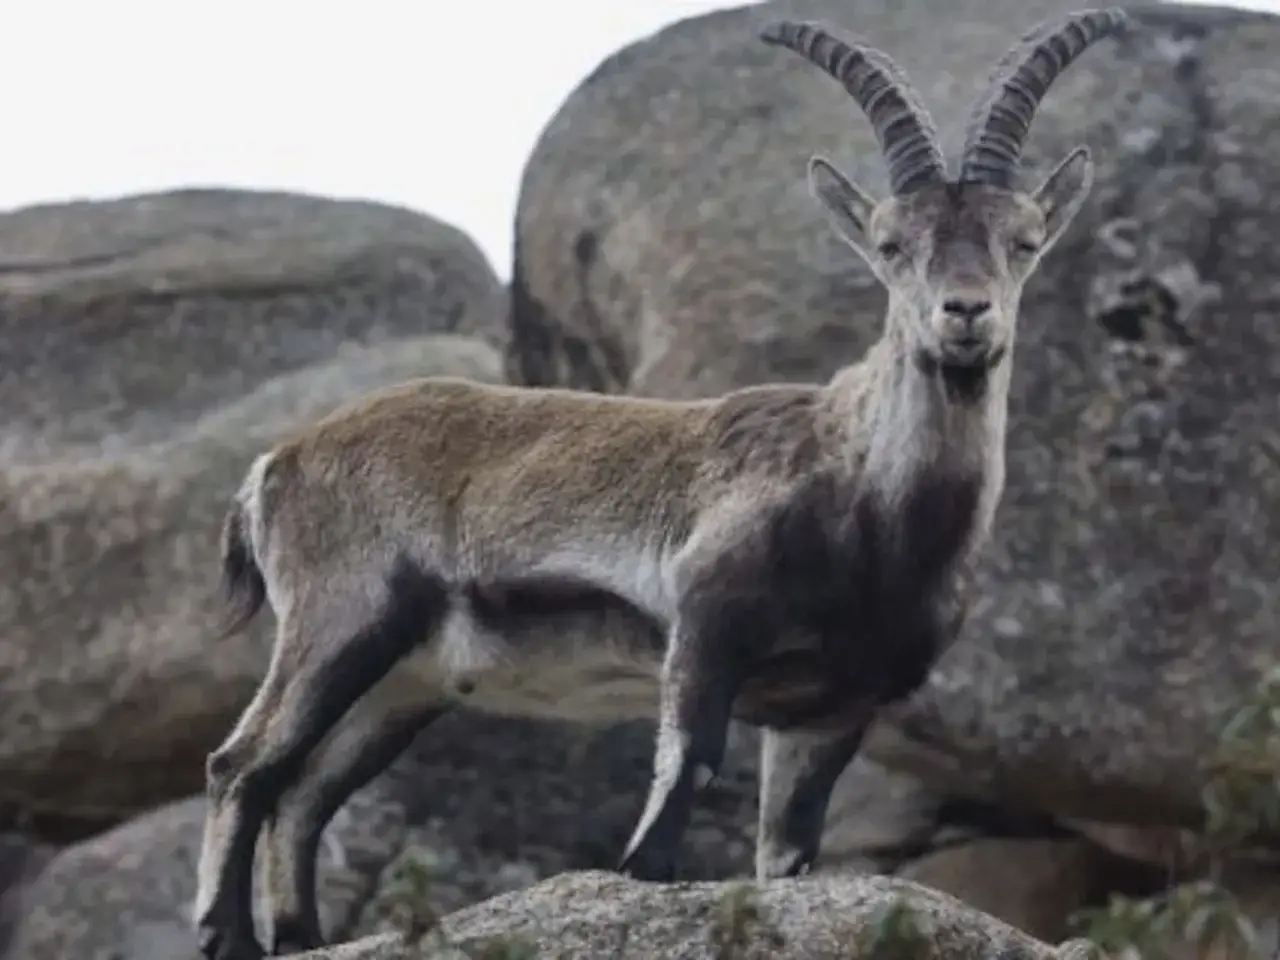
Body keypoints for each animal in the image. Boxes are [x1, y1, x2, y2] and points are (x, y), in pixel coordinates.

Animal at [193, 9, 1131, 958]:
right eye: (891, 245)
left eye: (1023, 241)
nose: (965, 313)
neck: (870, 508)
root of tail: (277, 465)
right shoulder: (706, 628)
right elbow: (680, 789)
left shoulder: (828, 709)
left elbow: (788, 855)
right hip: (341, 618)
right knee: (243, 764)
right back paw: (225, 935)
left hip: (403, 684)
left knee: (304, 794)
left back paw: (300, 937)